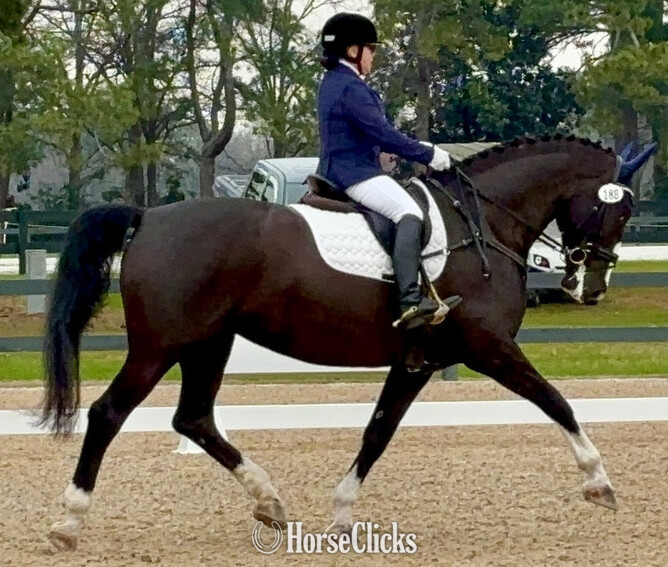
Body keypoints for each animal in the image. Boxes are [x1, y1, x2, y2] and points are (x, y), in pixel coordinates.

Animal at [40, 134, 634, 550]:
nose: (592, 287)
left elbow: (377, 432)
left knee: (195, 419)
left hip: (209, 343)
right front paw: (599, 482)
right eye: (620, 209)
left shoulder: (416, 362)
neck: (482, 224)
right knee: (109, 413)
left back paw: (269, 502)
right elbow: (556, 401)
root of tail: (147, 217)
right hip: (160, 346)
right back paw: (69, 521)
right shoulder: (488, 347)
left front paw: (343, 514)